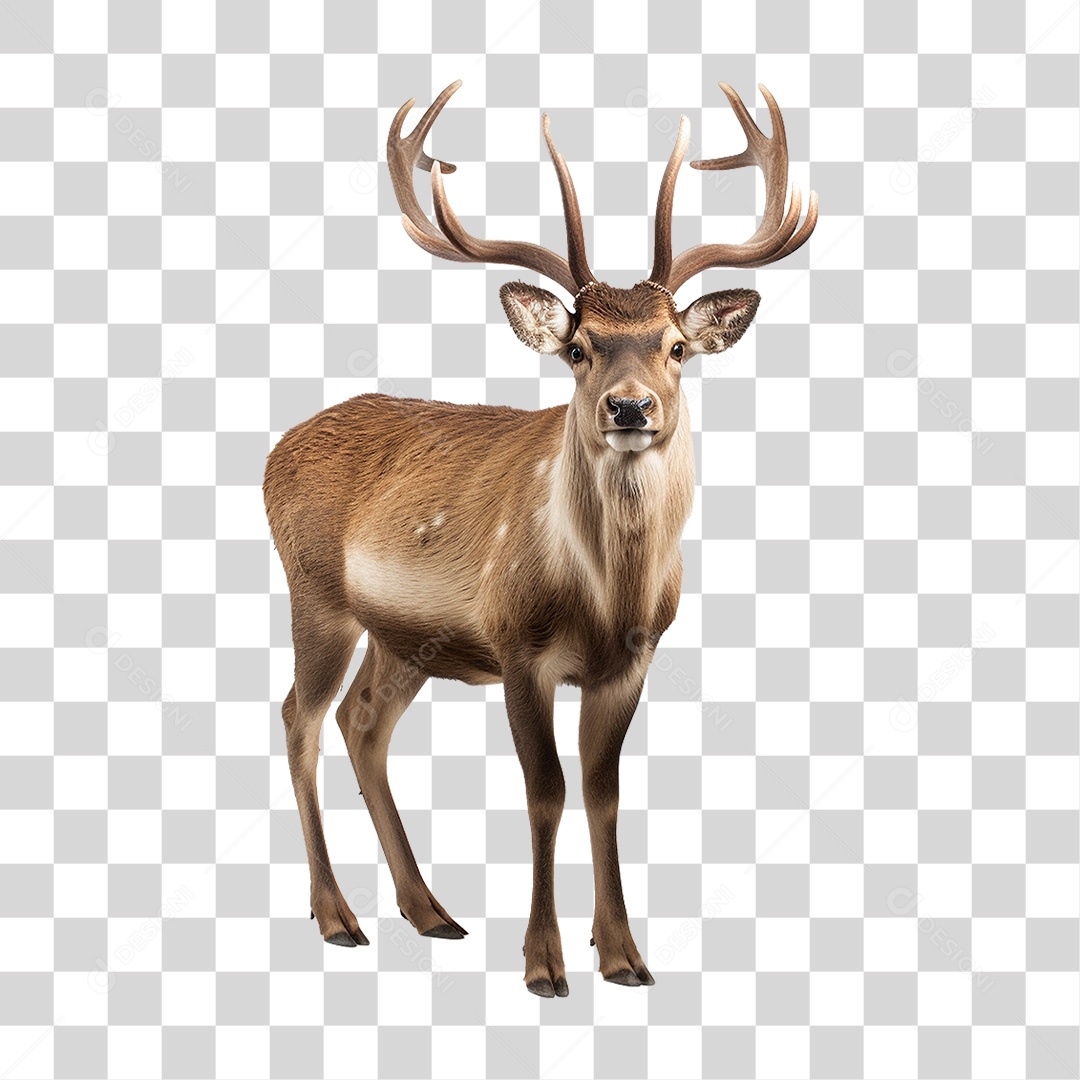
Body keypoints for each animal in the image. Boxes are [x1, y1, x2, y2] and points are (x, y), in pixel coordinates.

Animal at [263, 80, 816, 997]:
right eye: (578, 349)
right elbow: (546, 790)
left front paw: (623, 953)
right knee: (299, 717)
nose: (629, 407)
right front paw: (544, 963)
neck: (603, 598)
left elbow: (604, 790)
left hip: (404, 637)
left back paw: (430, 911)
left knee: (362, 721)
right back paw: (339, 917)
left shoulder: (631, 659)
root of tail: (273, 451)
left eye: (676, 347)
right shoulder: (516, 642)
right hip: (315, 594)